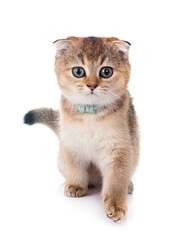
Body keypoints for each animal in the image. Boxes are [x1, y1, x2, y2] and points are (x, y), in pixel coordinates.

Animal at [23, 36, 140, 222]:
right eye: (78, 71)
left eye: (106, 72)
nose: (91, 85)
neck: (90, 116)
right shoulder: (71, 144)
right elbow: (75, 168)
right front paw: (76, 185)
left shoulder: (119, 149)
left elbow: (116, 180)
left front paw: (116, 205)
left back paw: (127, 185)